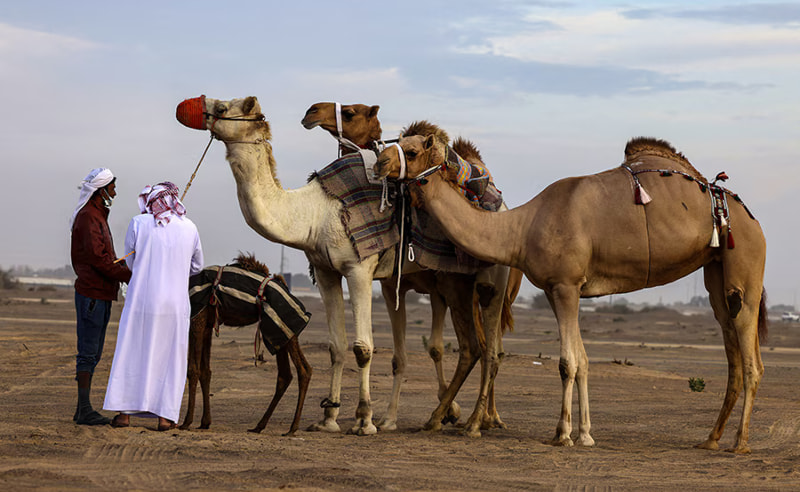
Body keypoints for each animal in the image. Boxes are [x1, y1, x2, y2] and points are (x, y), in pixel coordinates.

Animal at [180, 253, 312, 436]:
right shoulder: (208, 325)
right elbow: (206, 372)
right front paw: (205, 422)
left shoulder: (197, 319)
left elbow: (193, 370)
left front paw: (186, 422)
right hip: (281, 335)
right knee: (290, 373)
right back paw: (259, 426)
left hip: (281, 328)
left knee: (301, 371)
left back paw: (291, 428)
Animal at [302, 102, 518, 432]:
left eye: (350, 112)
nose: (311, 111)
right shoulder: (398, 286)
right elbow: (407, 355)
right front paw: (391, 418)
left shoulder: (434, 287)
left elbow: (435, 348)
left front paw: (445, 411)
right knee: (485, 348)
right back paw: (475, 416)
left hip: (486, 289)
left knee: (487, 348)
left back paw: (483, 418)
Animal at [375, 133, 768, 453]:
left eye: (412, 150)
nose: (380, 162)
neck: (520, 228)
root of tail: (750, 217)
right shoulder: (560, 289)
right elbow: (582, 361)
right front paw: (585, 434)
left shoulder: (565, 285)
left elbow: (567, 362)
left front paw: (562, 434)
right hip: (716, 271)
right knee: (731, 346)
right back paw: (711, 438)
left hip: (745, 260)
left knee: (751, 359)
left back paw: (740, 442)